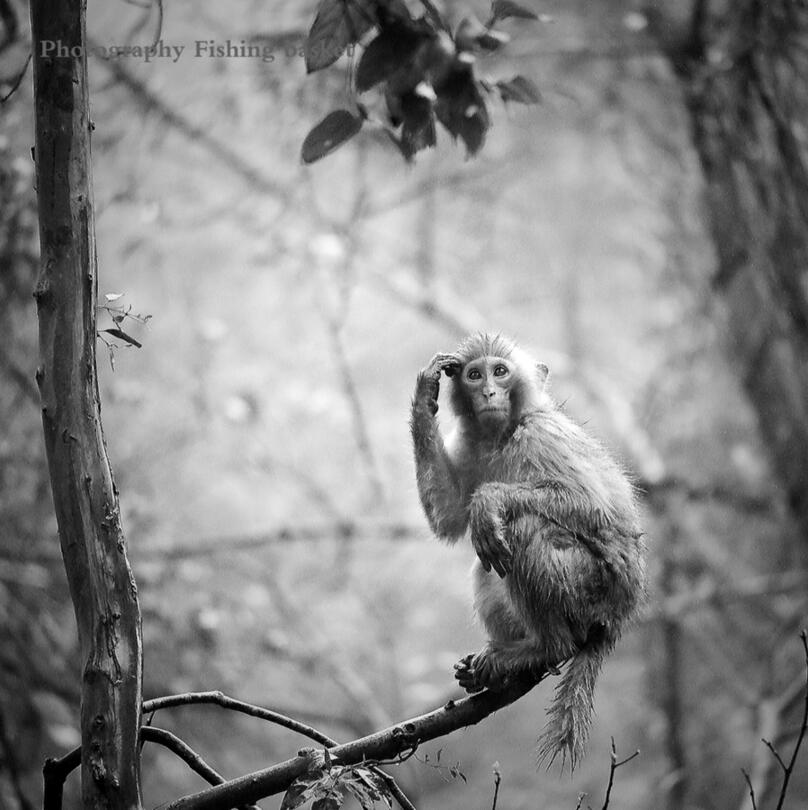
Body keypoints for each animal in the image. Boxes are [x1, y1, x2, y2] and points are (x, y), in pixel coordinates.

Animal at [408, 332, 648, 768]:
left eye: (500, 372)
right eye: (474, 375)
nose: (488, 391)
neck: (504, 433)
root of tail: (619, 616)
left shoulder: (540, 435)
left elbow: (591, 504)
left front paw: (488, 499)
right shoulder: (472, 442)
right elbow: (450, 517)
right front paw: (425, 393)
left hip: (590, 588)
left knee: (524, 528)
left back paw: (545, 648)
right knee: (488, 559)